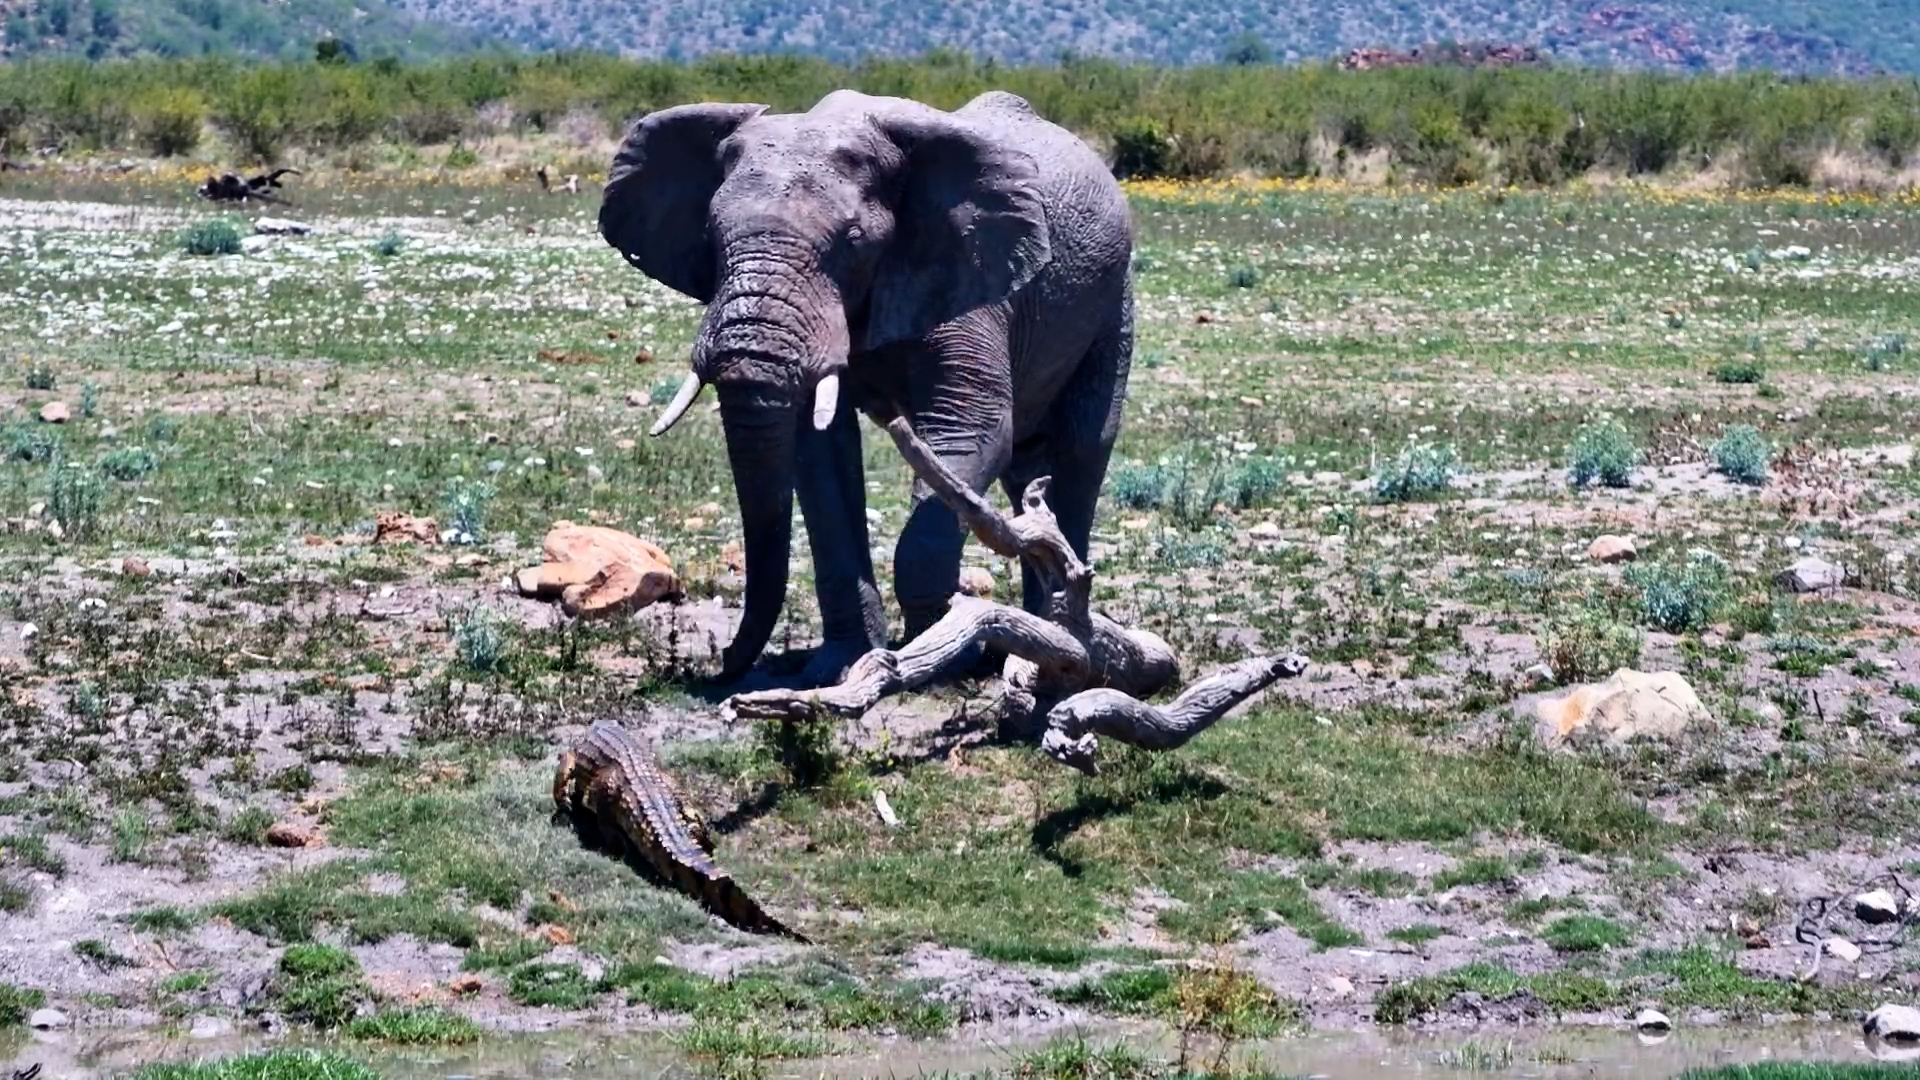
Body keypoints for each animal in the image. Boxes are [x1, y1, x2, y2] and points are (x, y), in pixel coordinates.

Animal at [599, 88, 1134, 685]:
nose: (724, 662)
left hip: (1114, 295)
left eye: (852, 242)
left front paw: (946, 650)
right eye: (711, 240)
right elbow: (820, 456)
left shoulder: (971, 275)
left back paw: (1053, 638)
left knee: (1082, 448)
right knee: (1028, 471)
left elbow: (974, 430)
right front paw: (840, 666)